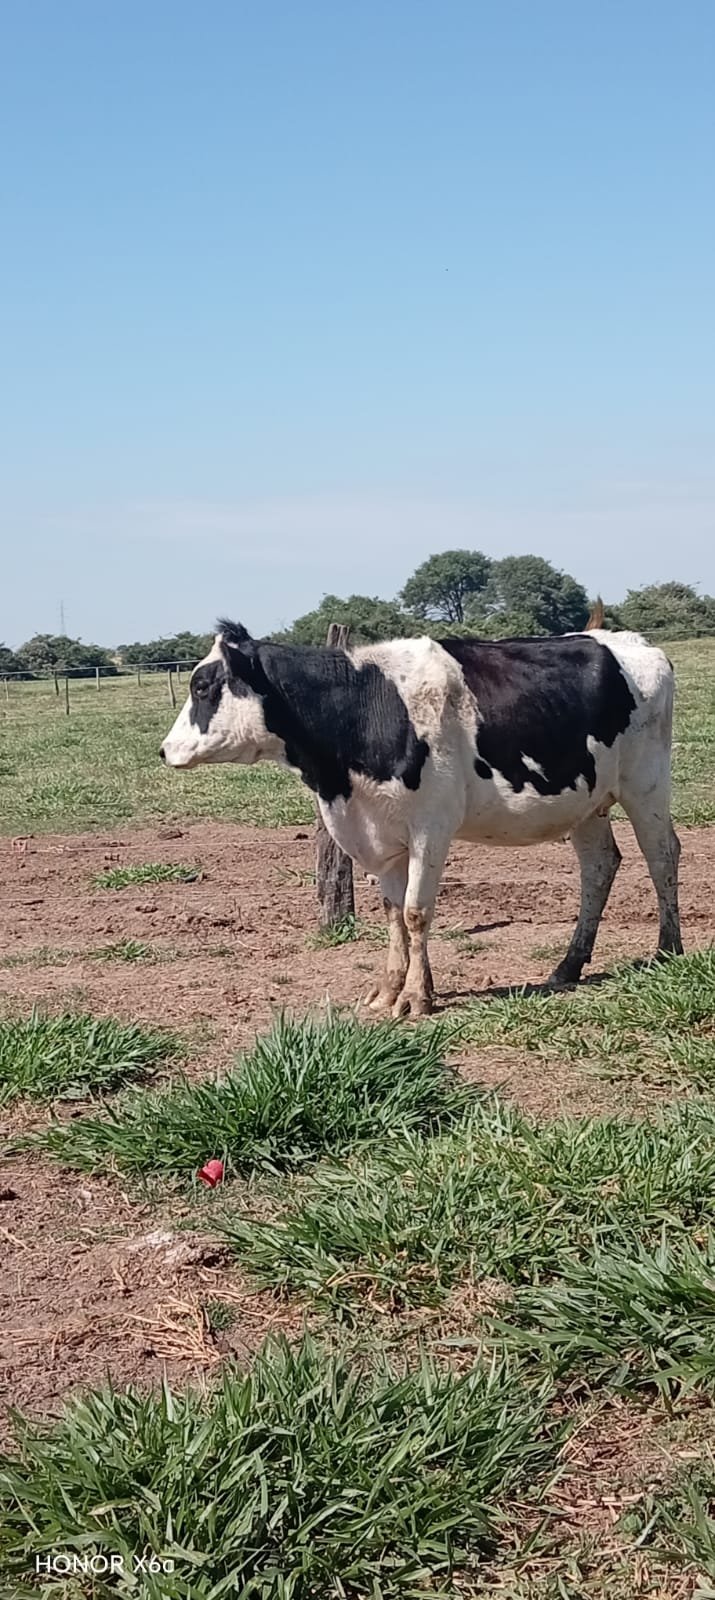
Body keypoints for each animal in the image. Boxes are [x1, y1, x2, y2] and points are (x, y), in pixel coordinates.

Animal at [160, 613, 683, 1017]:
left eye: (203, 686)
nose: (165, 750)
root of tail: (631, 642)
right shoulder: (378, 834)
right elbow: (393, 914)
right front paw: (388, 990)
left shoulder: (431, 826)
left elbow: (415, 912)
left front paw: (415, 997)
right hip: (586, 801)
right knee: (600, 866)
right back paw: (568, 965)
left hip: (647, 782)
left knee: (662, 856)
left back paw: (668, 950)